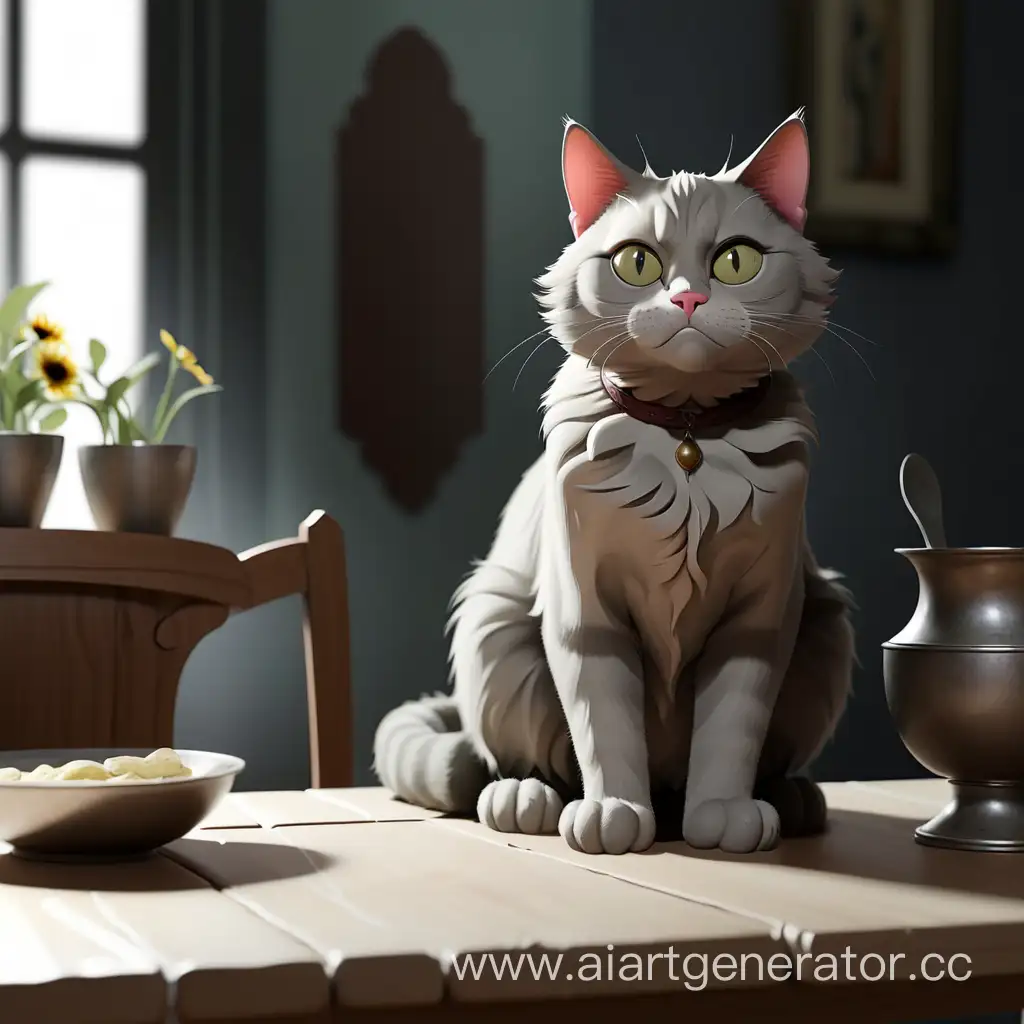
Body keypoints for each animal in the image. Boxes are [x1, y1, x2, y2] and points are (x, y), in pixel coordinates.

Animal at [372, 110, 851, 856]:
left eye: (736, 260)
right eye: (637, 262)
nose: (688, 298)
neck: (686, 434)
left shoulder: (760, 618)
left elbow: (731, 730)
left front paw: (723, 814)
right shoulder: (585, 612)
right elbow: (604, 724)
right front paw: (614, 814)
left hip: (827, 627)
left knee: (758, 764)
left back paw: (786, 801)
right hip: (496, 624)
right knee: (509, 760)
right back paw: (527, 799)